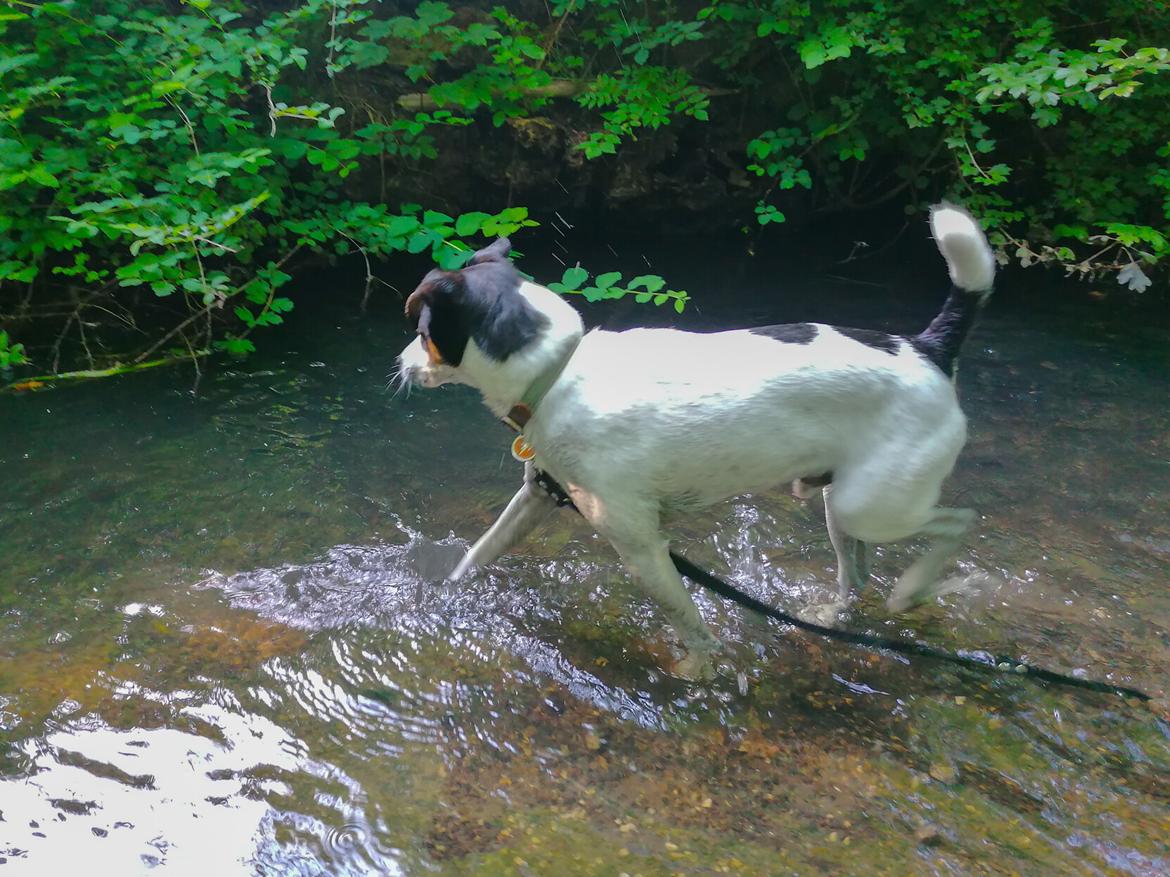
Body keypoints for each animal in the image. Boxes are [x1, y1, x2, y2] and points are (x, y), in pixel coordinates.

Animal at [400, 205, 996, 678]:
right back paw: (834, 614)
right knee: (859, 573)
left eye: (423, 333)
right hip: (841, 503)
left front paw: (698, 671)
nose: (400, 363)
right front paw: (443, 594)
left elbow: (688, 621)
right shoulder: (537, 497)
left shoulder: (642, 549)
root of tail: (929, 349)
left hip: (872, 505)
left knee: (956, 522)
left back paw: (913, 589)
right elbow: (479, 553)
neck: (558, 371)